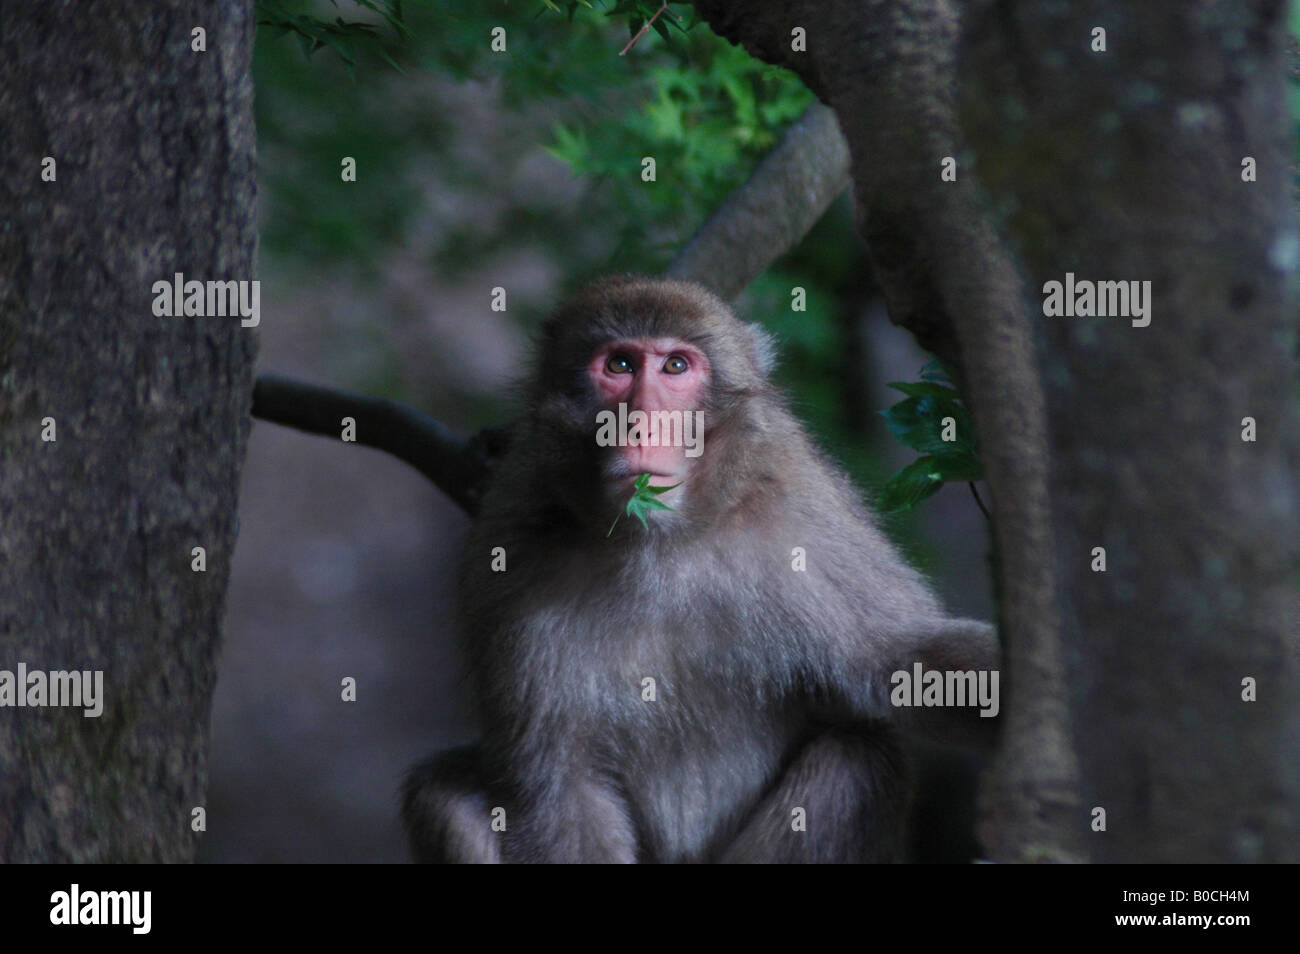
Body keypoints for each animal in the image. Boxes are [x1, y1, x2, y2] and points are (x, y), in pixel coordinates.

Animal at [400, 276, 998, 868]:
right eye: (619, 365)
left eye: (676, 367)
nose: (641, 424)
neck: (657, 543)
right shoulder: (512, 541)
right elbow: (560, 789)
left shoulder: (800, 505)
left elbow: (903, 656)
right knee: (443, 796)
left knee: (858, 760)